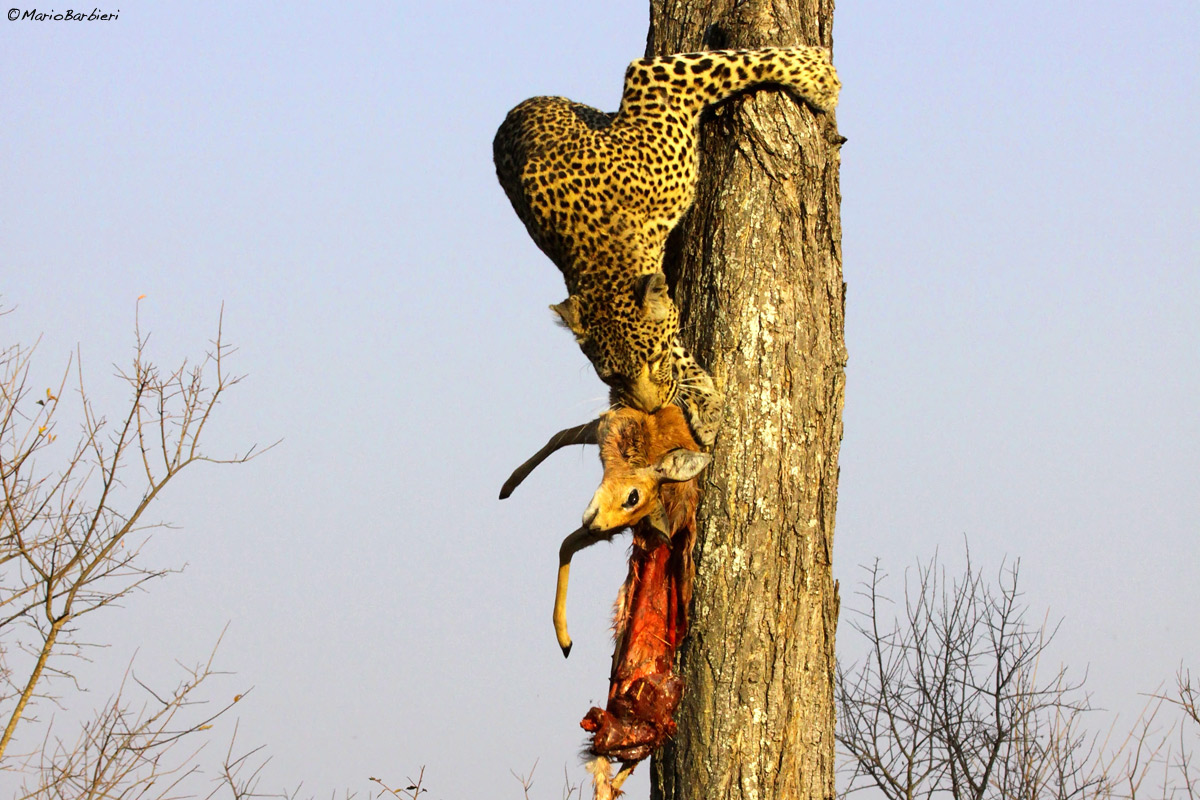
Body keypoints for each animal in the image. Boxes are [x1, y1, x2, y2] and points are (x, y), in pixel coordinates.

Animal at [493, 46, 840, 448]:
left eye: (655, 359)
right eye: (611, 376)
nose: (653, 408)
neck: (602, 244)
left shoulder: (651, 76)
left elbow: (738, 62)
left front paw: (817, 75)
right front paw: (704, 403)